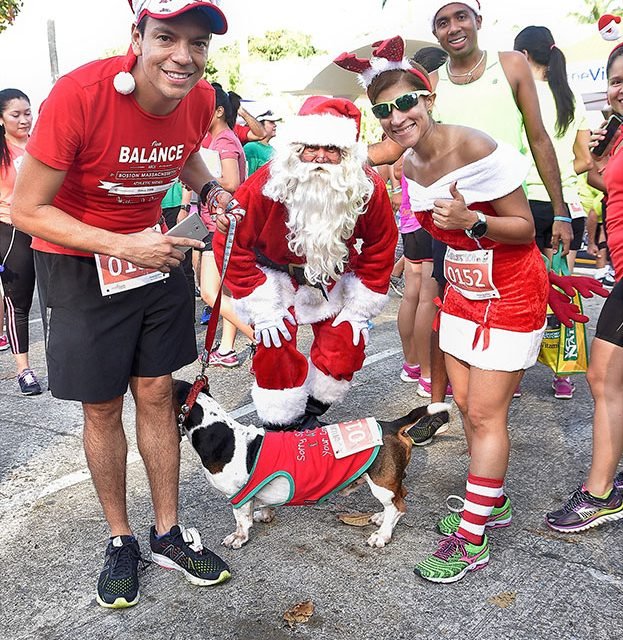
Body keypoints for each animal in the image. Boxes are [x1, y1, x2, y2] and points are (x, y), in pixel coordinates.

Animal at [173, 380, 450, 552]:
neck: (220, 433)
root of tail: (392, 425)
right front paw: (264, 513)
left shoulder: (237, 496)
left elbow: (241, 521)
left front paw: (238, 538)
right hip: (386, 481)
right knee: (399, 498)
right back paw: (382, 519)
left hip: (380, 483)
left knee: (398, 507)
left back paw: (382, 535)